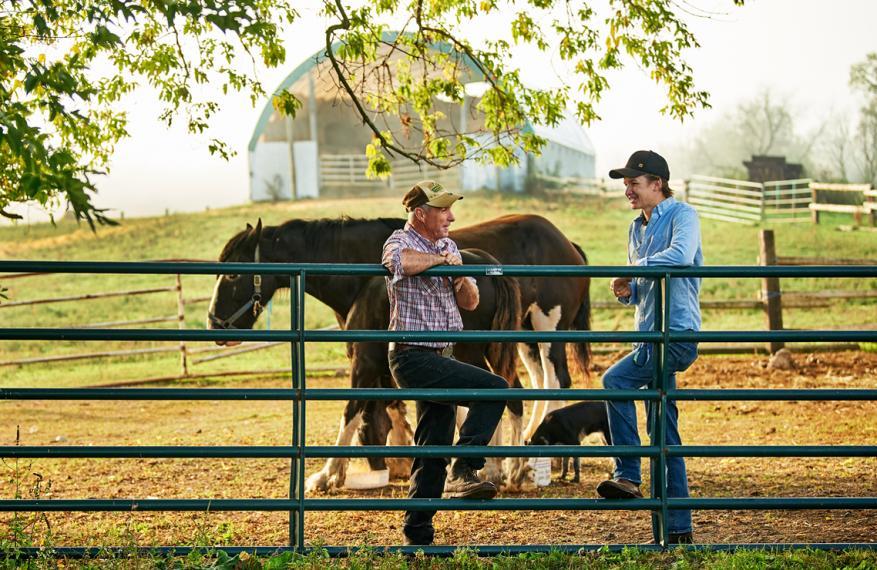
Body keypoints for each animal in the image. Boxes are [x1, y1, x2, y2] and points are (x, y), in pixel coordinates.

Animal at [207, 213, 588, 488]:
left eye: (232, 275)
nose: (214, 324)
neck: (360, 274)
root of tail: (567, 244)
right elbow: (394, 405)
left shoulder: (366, 357)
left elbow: (353, 409)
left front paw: (328, 474)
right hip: (516, 340)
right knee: (526, 387)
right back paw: (517, 461)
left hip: (543, 330)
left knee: (552, 381)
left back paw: (525, 464)